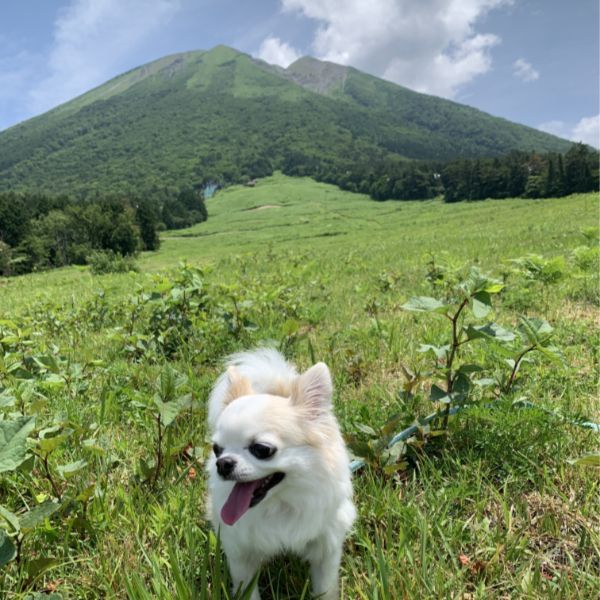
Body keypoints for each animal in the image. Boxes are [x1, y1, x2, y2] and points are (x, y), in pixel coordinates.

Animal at [207, 350, 356, 596]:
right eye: (216, 449)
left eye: (262, 449)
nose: (223, 463)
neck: (279, 505)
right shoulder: (240, 553)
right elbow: (247, 590)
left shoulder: (326, 545)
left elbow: (324, 587)